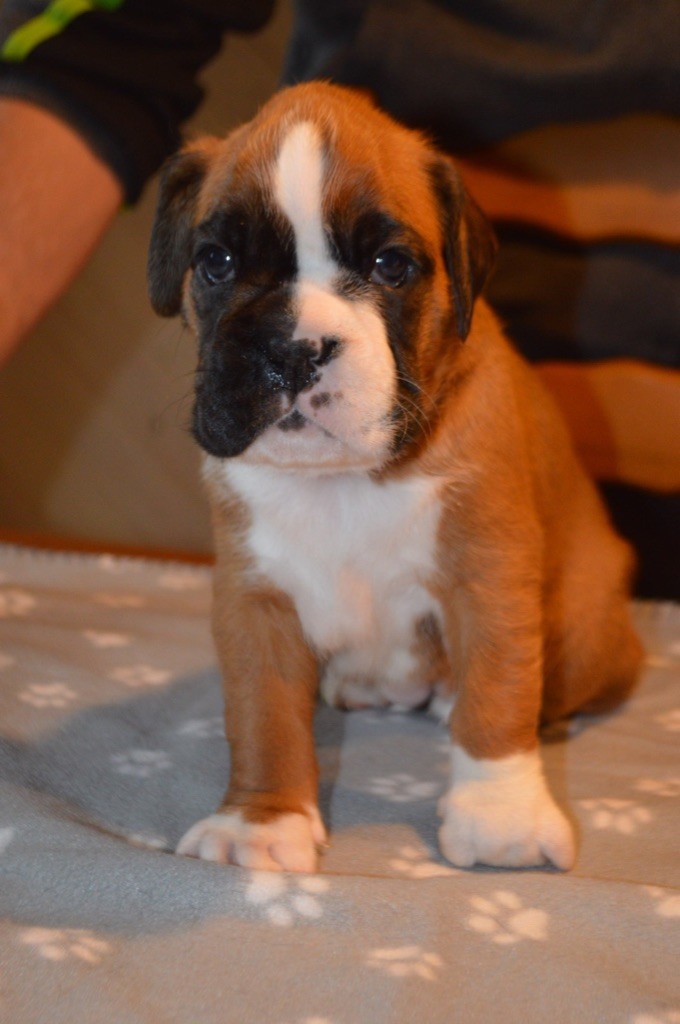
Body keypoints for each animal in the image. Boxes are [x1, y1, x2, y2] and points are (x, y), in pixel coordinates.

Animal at [148, 82, 642, 873]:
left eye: (389, 266)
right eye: (217, 261)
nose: (293, 349)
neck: (344, 479)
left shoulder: (488, 576)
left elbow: (498, 690)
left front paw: (500, 818)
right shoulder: (255, 599)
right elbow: (261, 714)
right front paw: (261, 822)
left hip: (587, 629)